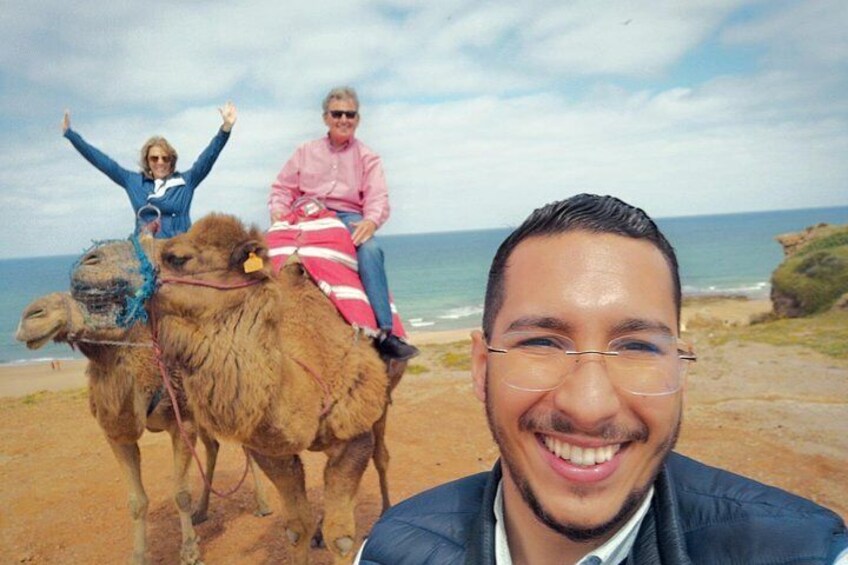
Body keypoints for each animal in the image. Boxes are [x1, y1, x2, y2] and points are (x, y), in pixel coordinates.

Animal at [15, 290, 272, 564]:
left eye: (97, 300)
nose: (32, 315)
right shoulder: (118, 435)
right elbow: (137, 502)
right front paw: (139, 555)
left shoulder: (181, 421)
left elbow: (181, 494)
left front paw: (189, 552)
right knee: (213, 447)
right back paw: (201, 513)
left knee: (247, 447)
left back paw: (262, 506)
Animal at [67, 214, 408, 560]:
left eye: (178, 257)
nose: (89, 261)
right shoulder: (271, 449)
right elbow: (296, 528)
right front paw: (306, 533)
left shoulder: (354, 435)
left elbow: (341, 538)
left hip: (381, 401)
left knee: (381, 456)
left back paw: (385, 512)